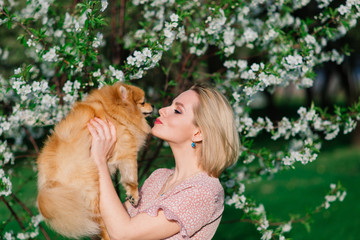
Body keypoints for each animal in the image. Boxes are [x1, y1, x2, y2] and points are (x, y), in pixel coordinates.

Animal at [37, 83, 153, 240]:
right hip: (91, 190)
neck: (113, 113)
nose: (153, 105)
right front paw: (134, 195)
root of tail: (50, 182)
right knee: (99, 224)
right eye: (143, 102)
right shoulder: (127, 150)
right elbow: (131, 178)